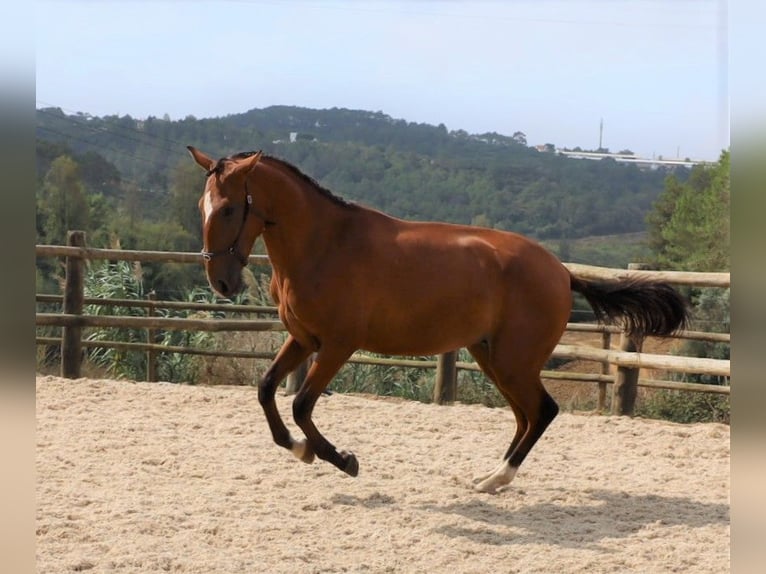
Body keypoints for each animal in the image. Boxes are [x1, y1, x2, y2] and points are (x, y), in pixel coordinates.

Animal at [186, 148, 688, 496]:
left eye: (229, 208)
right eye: (201, 206)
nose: (222, 282)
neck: (324, 245)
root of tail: (561, 272)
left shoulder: (337, 345)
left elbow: (301, 405)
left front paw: (342, 459)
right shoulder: (304, 339)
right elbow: (267, 390)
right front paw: (299, 449)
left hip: (513, 361)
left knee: (542, 411)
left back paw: (496, 480)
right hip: (491, 357)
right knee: (525, 415)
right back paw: (489, 476)